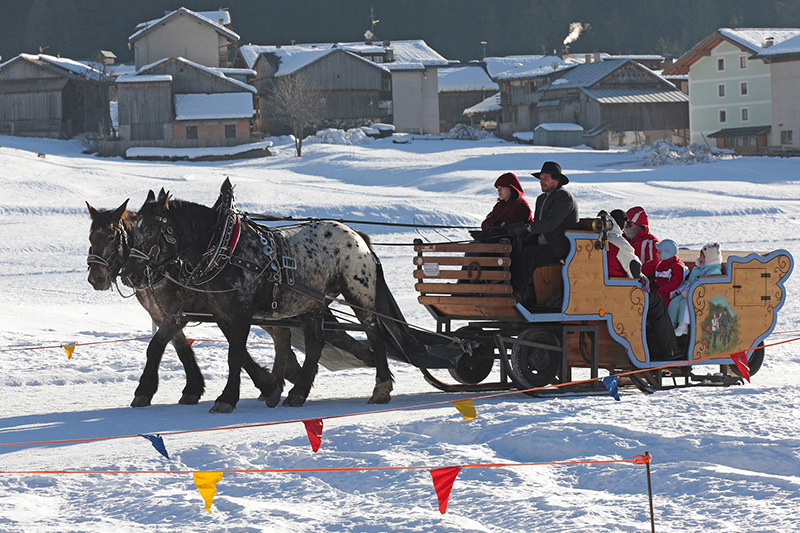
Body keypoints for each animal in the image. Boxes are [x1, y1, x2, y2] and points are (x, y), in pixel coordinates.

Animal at [86, 196, 302, 410]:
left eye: (112, 237)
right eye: (91, 238)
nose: (96, 278)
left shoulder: (179, 315)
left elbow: (155, 347)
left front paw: (144, 390)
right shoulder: (164, 316)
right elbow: (181, 349)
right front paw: (193, 388)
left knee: (281, 335)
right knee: (281, 336)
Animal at [122, 179, 393, 413]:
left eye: (150, 231)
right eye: (132, 234)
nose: (129, 274)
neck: (223, 248)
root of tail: (357, 235)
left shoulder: (238, 311)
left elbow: (234, 354)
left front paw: (227, 398)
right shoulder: (220, 314)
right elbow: (238, 351)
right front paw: (270, 388)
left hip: (358, 292)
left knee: (374, 332)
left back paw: (381, 388)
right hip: (312, 303)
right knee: (315, 343)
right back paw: (298, 392)